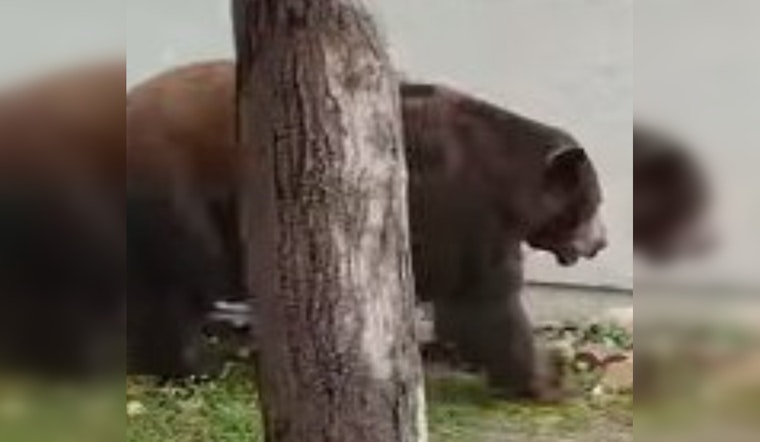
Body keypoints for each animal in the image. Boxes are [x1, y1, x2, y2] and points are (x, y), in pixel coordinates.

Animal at [127, 61, 607, 399]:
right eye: (594, 202)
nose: (601, 243)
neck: (506, 180)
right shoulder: (465, 212)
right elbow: (485, 306)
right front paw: (548, 379)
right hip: (181, 188)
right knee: (187, 278)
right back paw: (192, 365)